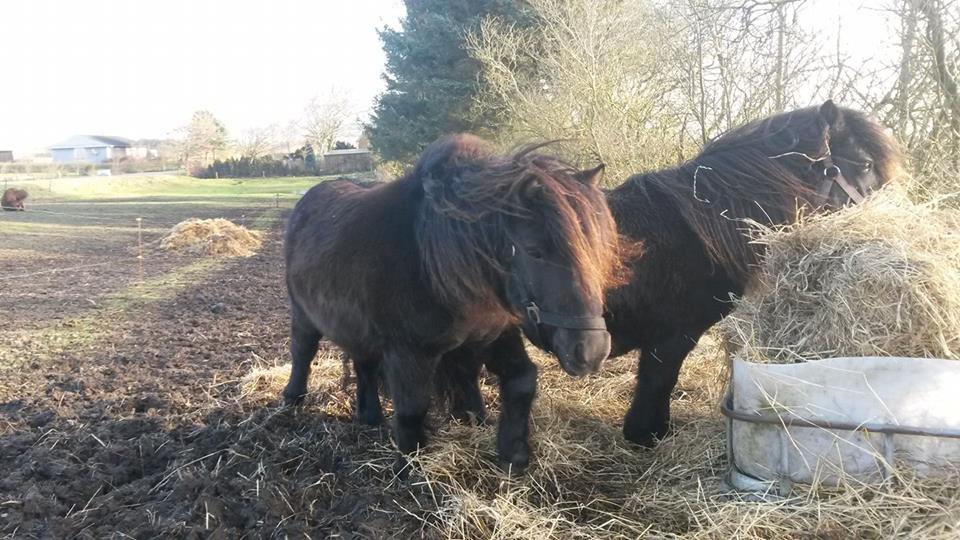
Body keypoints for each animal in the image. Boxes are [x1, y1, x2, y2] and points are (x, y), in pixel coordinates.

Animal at [282, 134, 620, 468]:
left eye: (598, 247)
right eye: (533, 250)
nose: (591, 350)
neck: (435, 261)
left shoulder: (493, 335)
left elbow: (522, 380)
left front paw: (513, 454)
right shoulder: (408, 353)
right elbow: (412, 410)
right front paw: (409, 468)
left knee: (363, 362)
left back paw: (369, 416)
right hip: (303, 315)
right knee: (303, 351)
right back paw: (292, 400)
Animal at [442, 101, 908, 448]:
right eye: (864, 163)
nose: (896, 216)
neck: (698, 230)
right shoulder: (672, 335)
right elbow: (659, 381)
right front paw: (647, 434)